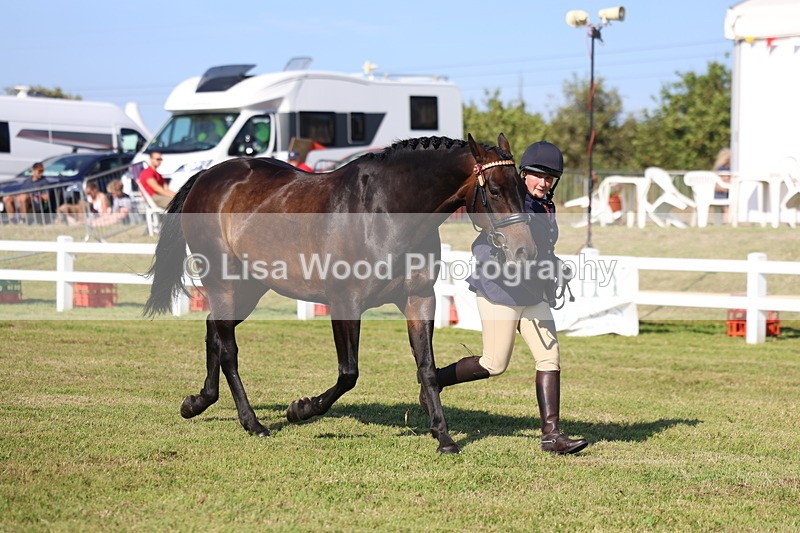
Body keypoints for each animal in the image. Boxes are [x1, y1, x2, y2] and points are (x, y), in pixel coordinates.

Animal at [144, 133, 537, 454]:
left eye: (522, 189)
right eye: (495, 191)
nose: (525, 251)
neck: (385, 212)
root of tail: (208, 176)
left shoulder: (419, 299)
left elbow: (426, 368)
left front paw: (444, 437)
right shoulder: (345, 303)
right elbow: (349, 372)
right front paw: (300, 409)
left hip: (251, 286)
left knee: (213, 329)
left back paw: (198, 402)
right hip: (223, 283)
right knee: (228, 349)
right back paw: (253, 423)